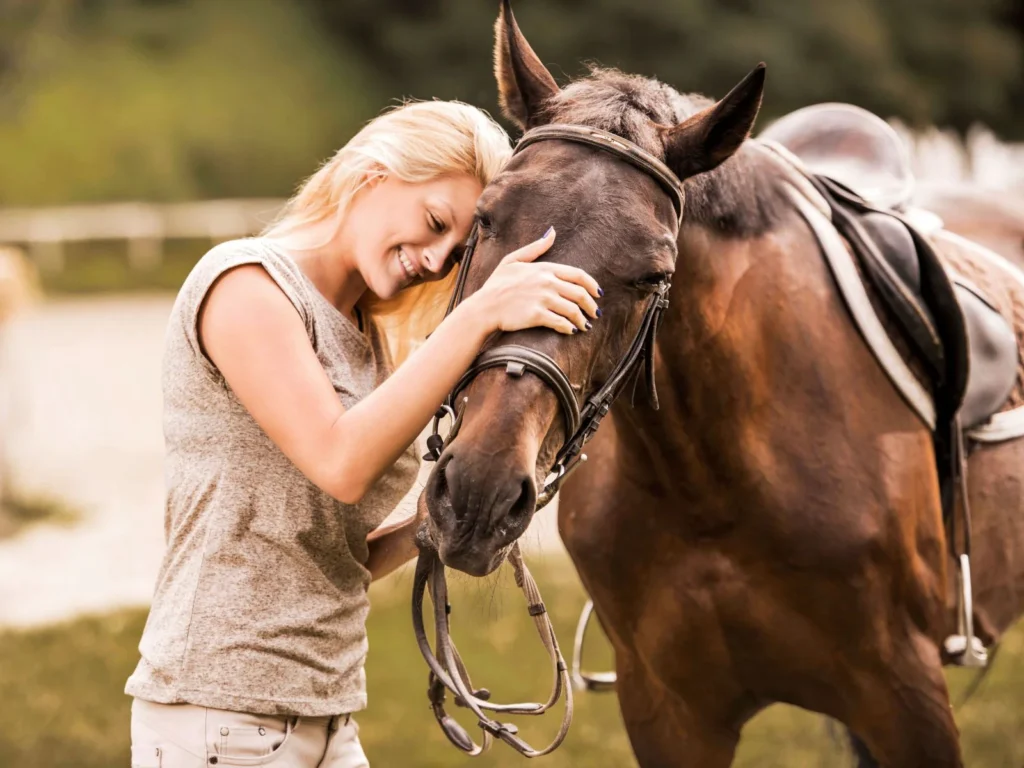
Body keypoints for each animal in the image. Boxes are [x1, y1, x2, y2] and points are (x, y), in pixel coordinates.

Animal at [420, 2, 1024, 765]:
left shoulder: (907, 699)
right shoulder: (670, 711)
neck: (712, 481)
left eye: (653, 273)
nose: (479, 494)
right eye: (485, 219)